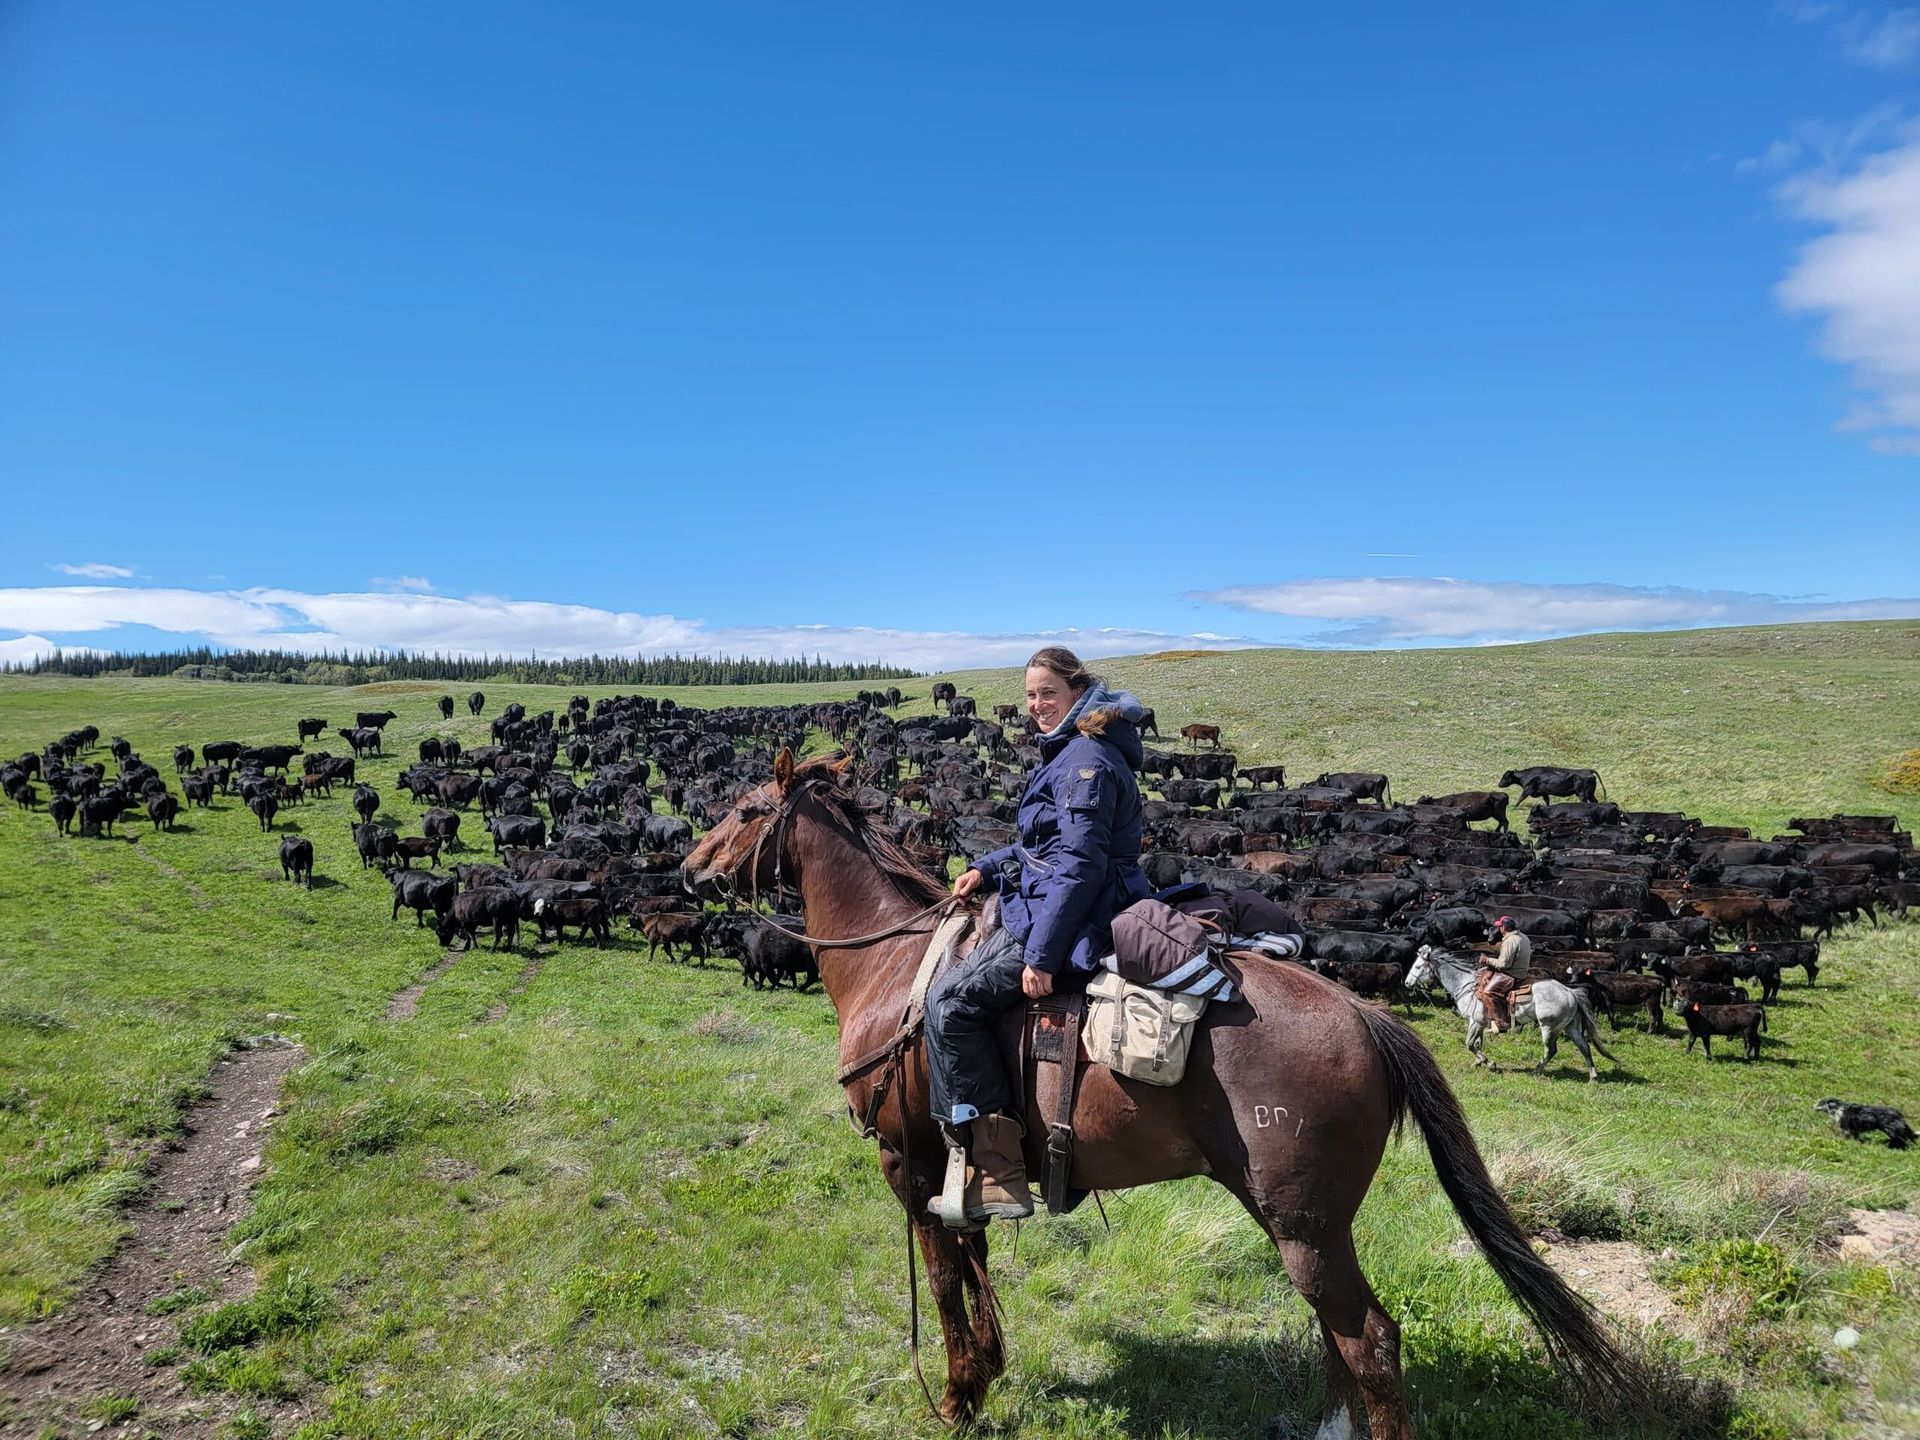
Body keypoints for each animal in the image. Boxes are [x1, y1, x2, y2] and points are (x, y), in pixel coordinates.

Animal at [1405, 948, 1612, 1082]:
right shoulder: (1481, 1023)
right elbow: (1477, 1044)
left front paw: (1489, 1063)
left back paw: (1537, 1070)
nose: (1407, 983)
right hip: (1572, 1027)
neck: (1465, 984)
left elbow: (1470, 1044)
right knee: (1584, 1047)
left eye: (1417, 967)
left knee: (1551, 1050)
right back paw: (1593, 1076)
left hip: (1548, 1027)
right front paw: (1479, 1062)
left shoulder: (1475, 1021)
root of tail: (1570, 992)